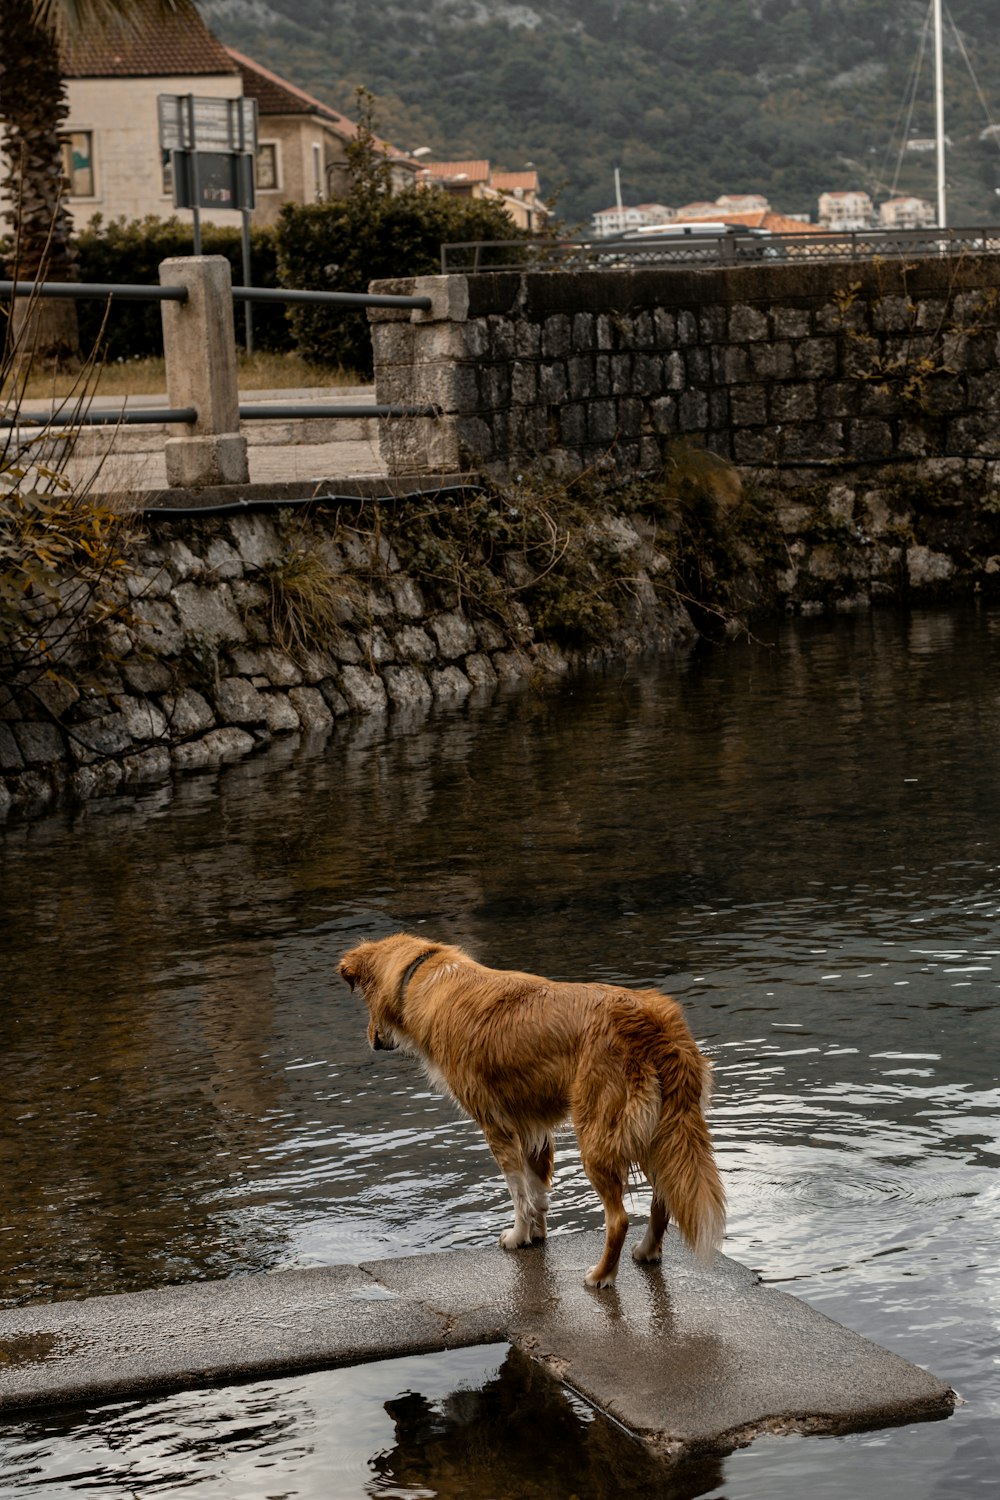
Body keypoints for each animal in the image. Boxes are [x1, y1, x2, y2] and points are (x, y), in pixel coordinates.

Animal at [338, 930, 728, 1284]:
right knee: (663, 1200)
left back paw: (601, 1275)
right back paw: (646, 1252)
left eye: (366, 1002)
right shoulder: (533, 1126)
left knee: (619, 1219)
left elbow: (518, 1193)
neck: (426, 978)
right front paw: (537, 1234)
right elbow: (537, 1189)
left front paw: (517, 1236)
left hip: (600, 1135)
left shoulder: (495, 1125)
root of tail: (653, 1023)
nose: (372, 1041)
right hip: (657, 1130)